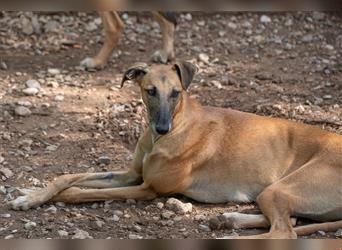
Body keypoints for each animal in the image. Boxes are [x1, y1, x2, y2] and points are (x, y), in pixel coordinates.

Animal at [9, 61, 340, 239]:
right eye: (150, 91)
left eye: (176, 93)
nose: (162, 129)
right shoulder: (131, 174)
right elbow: (68, 177)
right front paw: (31, 194)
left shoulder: (148, 189)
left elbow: (79, 193)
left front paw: (43, 197)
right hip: (272, 193)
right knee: (291, 221)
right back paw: (229, 220)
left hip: (280, 189)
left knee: (285, 231)